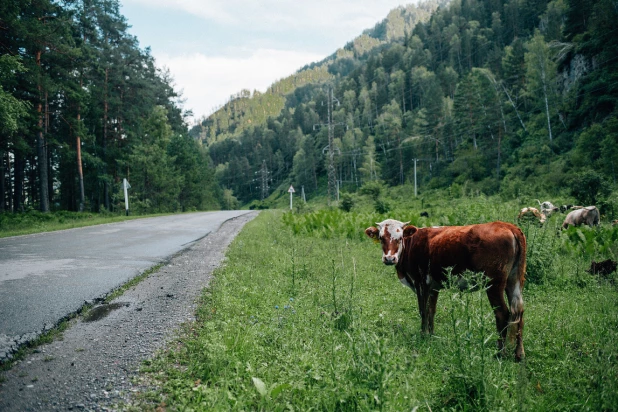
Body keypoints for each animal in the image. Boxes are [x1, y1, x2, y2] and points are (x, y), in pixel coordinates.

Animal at [364, 219, 528, 360]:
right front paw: (431, 335)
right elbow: (431, 310)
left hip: (493, 284)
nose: (389, 259)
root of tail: (507, 226)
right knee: (518, 311)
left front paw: (423, 335)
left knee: (502, 313)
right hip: (514, 280)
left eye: (399, 238)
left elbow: (423, 310)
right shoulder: (433, 286)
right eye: (381, 238)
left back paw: (500, 353)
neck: (412, 243)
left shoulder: (420, 282)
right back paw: (519, 354)